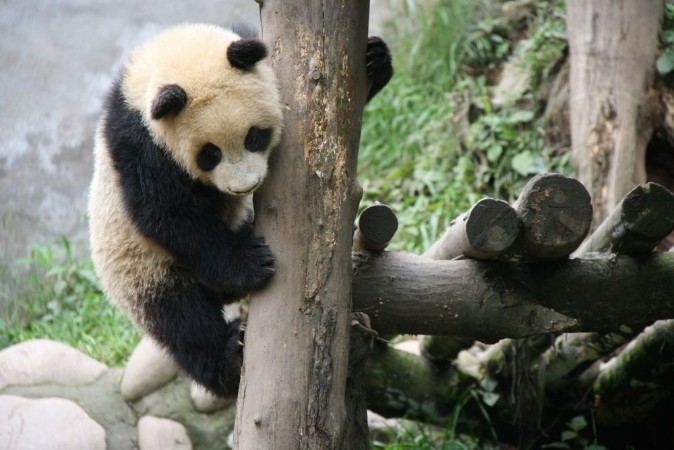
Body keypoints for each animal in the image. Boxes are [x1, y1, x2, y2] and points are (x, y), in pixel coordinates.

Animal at [88, 23, 392, 397]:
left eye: (254, 136)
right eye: (210, 153)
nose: (245, 187)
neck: (165, 58)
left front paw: (375, 58)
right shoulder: (142, 144)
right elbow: (167, 215)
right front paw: (250, 263)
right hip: (144, 272)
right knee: (183, 322)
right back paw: (228, 359)